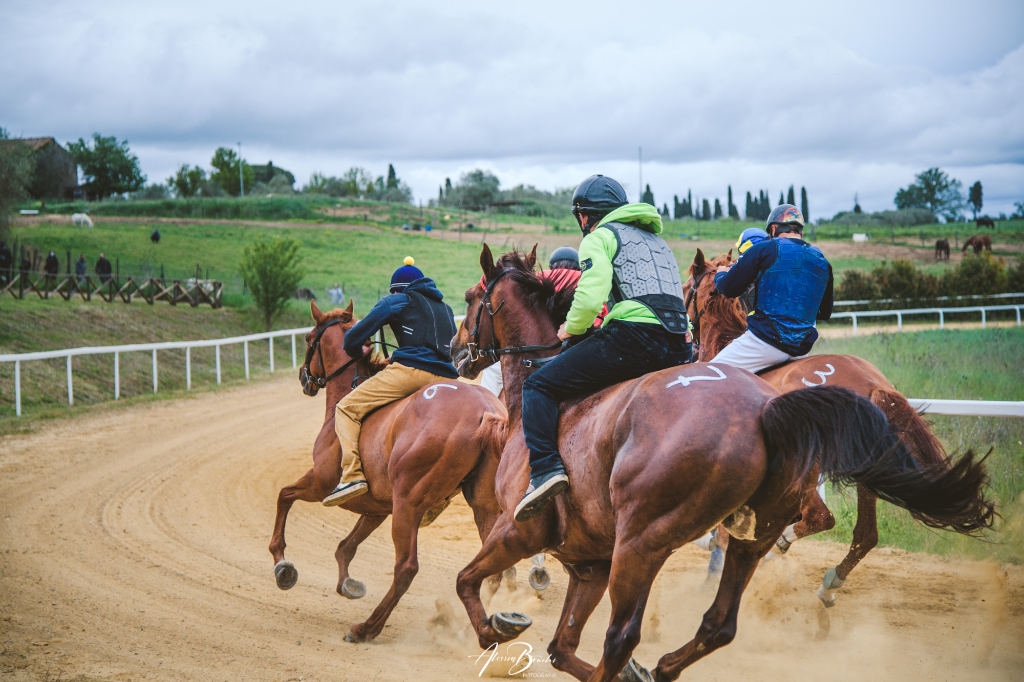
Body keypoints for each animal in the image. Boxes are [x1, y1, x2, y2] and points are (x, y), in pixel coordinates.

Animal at [270, 301, 509, 638]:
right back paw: (474, 629)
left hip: (408, 505)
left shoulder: (320, 483)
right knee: (492, 572)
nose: (304, 379)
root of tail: (486, 411)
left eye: (307, 338)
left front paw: (282, 565)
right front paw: (348, 583)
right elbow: (345, 547)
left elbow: (284, 496)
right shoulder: (377, 506)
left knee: (406, 568)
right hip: (483, 507)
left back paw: (367, 628)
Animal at [684, 248, 978, 602]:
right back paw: (826, 584)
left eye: (685, 288)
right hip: (869, 465)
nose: (686, 338)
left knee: (820, 517)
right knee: (864, 535)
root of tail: (873, 384)